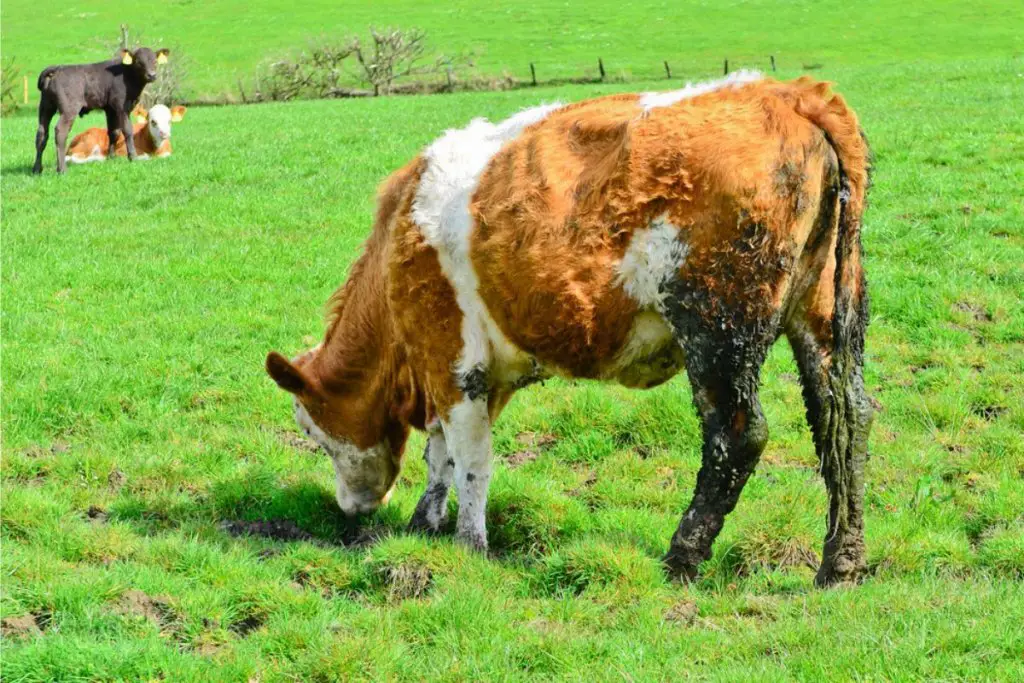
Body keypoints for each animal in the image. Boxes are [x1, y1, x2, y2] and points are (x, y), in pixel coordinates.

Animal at [266, 73, 872, 589]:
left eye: (310, 430)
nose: (351, 509)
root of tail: (788, 93)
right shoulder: (453, 368)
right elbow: (442, 454)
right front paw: (425, 523)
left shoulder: (452, 356)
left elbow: (471, 459)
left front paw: (468, 545)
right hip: (823, 313)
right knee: (844, 419)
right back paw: (840, 564)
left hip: (718, 325)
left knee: (738, 434)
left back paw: (681, 557)